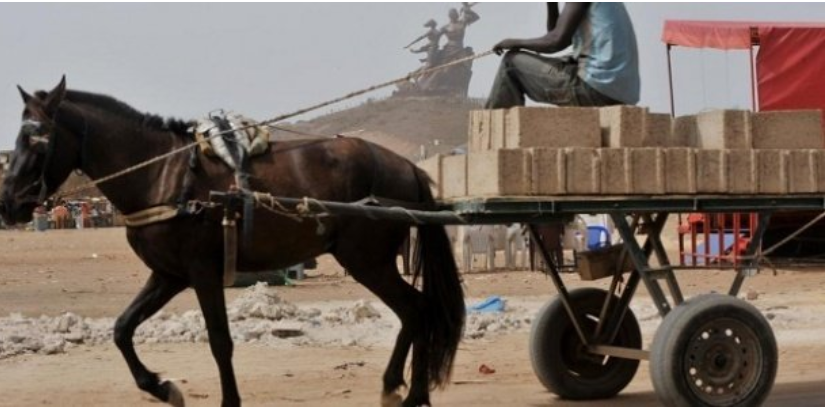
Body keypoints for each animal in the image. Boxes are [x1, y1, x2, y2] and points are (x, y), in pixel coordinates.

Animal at [1, 77, 466, 406]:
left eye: (37, 138)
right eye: (19, 138)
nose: (9, 203)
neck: (160, 174)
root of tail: (405, 165)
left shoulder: (203, 273)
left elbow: (220, 341)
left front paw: (226, 398)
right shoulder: (168, 275)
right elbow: (122, 329)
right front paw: (160, 386)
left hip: (368, 260)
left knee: (416, 309)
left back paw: (414, 393)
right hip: (371, 262)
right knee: (413, 312)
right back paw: (396, 386)